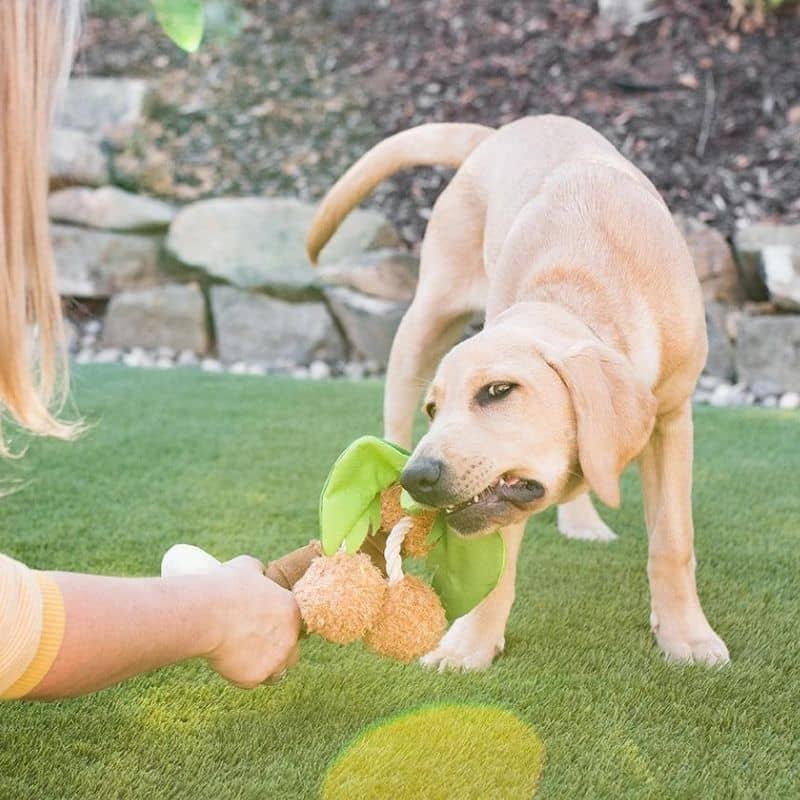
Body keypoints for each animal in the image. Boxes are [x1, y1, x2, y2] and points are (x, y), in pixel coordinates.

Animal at [306, 115, 732, 672]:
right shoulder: (493, 495)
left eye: (499, 390)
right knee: (395, 410)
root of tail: (502, 131)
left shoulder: (672, 417)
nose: (417, 477)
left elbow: (672, 541)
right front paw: (468, 645)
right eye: (433, 409)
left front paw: (687, 636)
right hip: (426, 316)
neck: (584, 282)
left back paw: (581, 520)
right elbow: (494, 566)